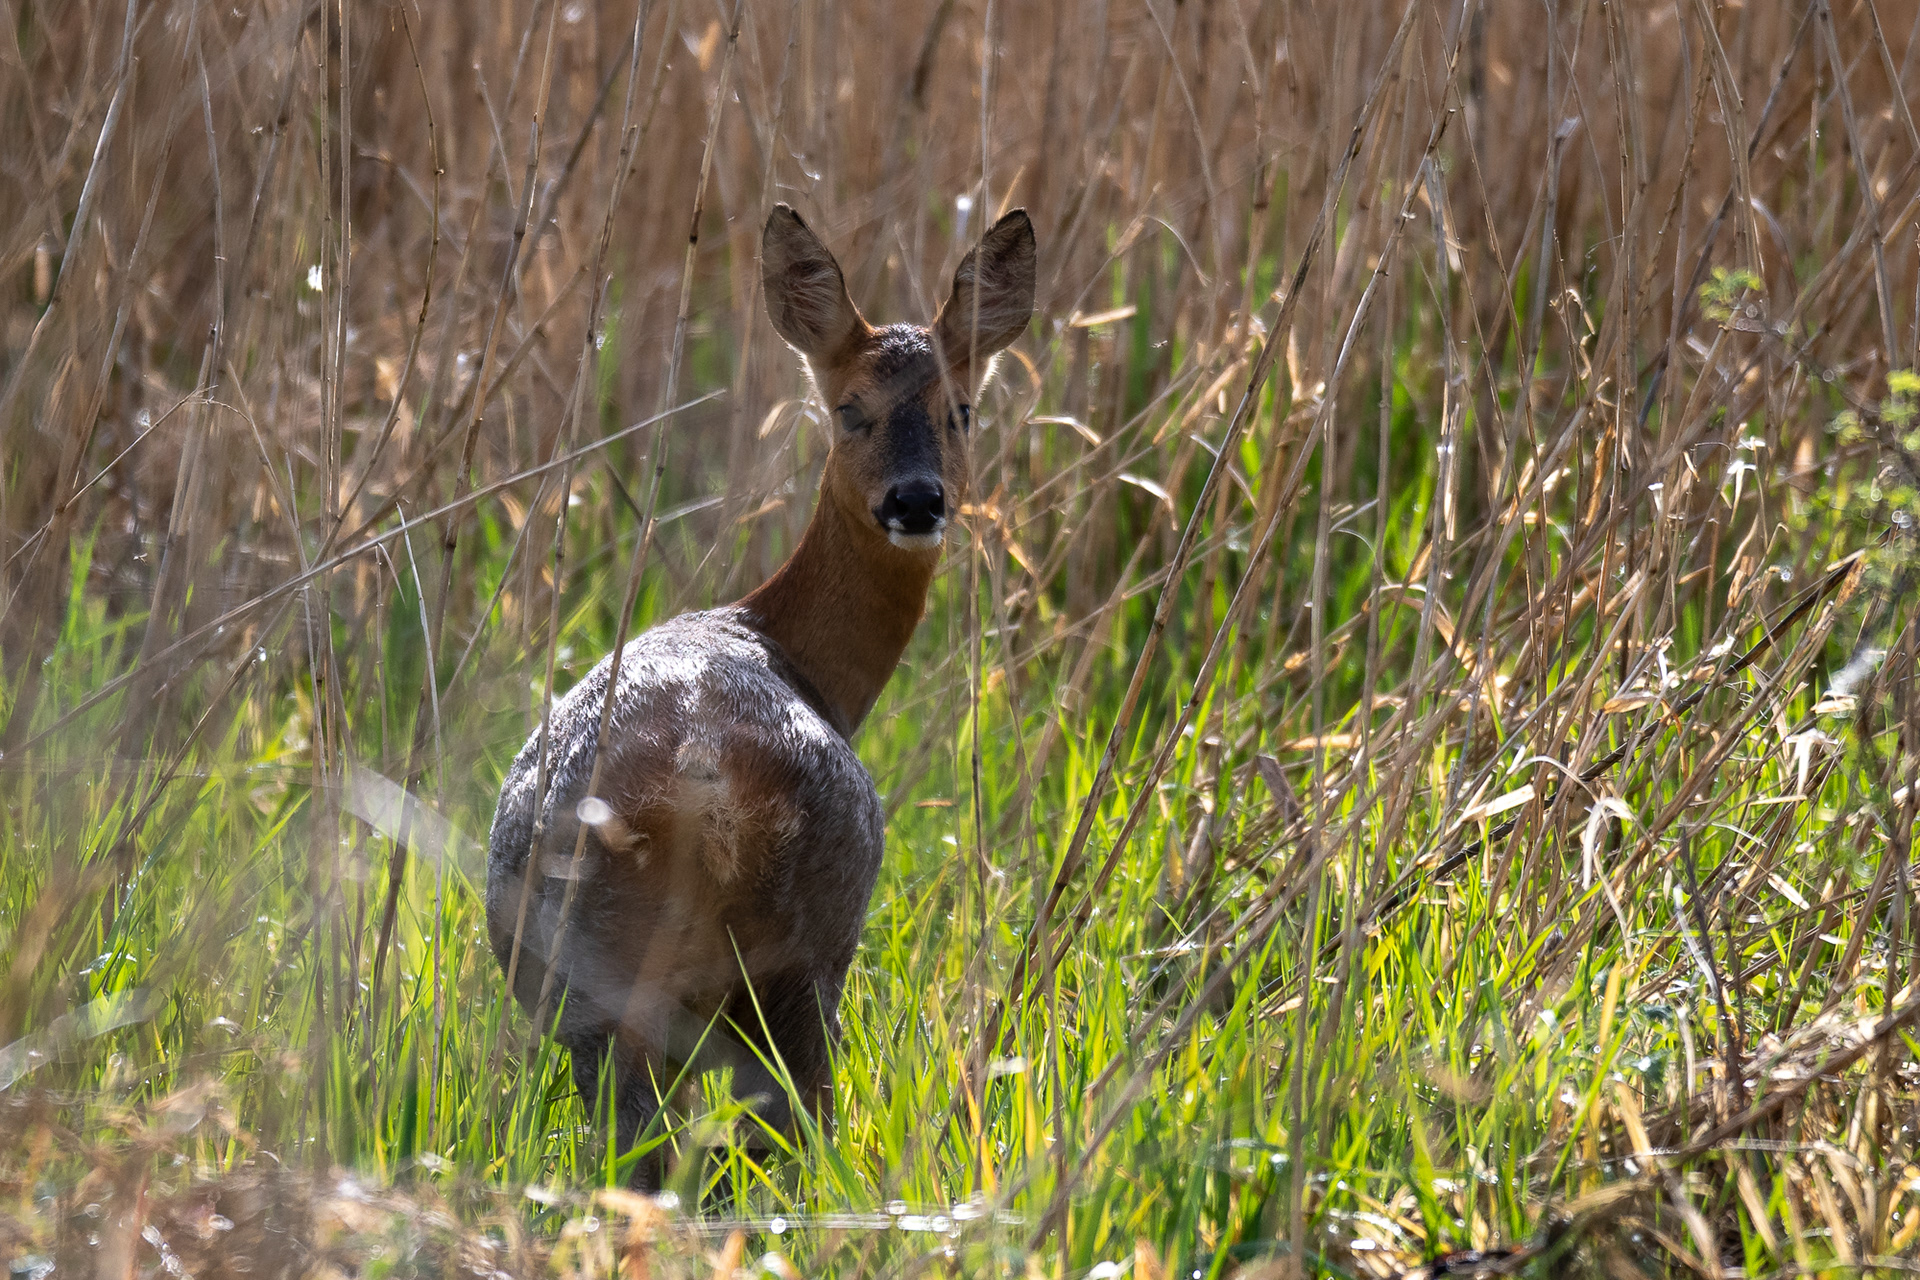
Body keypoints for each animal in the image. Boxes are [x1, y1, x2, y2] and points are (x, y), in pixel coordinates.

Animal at [486, 203, 1036, 1186]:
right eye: (849, 408)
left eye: (961, 410)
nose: (918, 500)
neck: (783, 641)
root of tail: (703, 783)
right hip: (804, 952)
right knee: (788, 1128)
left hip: (599, 986)